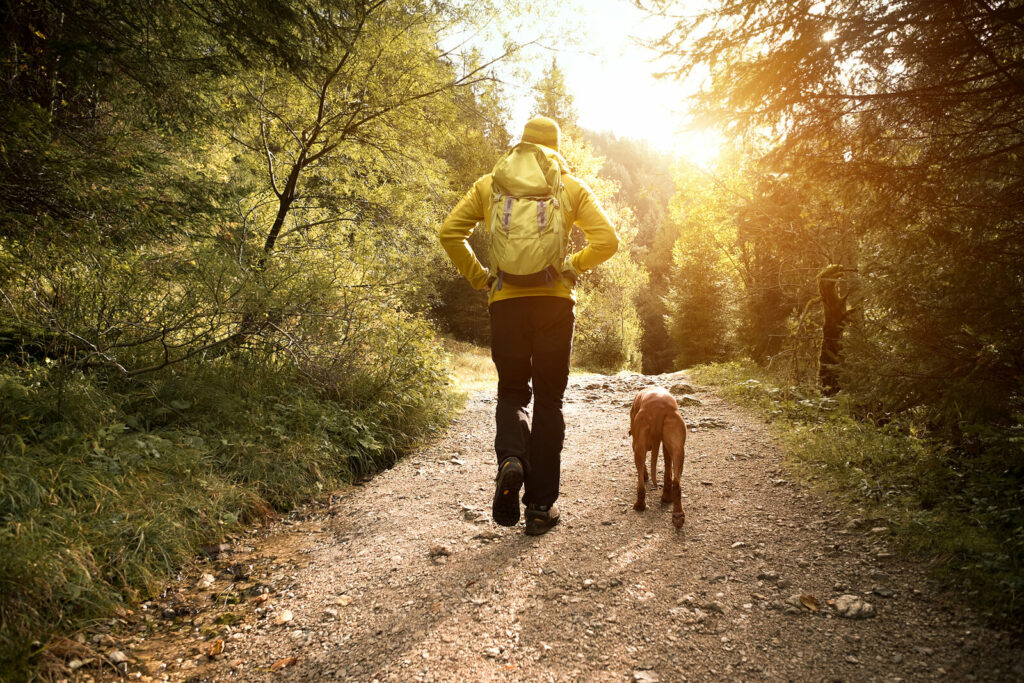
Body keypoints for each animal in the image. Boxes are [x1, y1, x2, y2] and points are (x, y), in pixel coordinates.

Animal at [626, 387, 684, 528]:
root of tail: (659, 408)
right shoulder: (666, 447)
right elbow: (667, 471)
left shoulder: (636, 442)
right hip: (679, 449)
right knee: (676, 482)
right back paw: (677, 514)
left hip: (639, 447)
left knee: (641, 483)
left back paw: (640, 505)